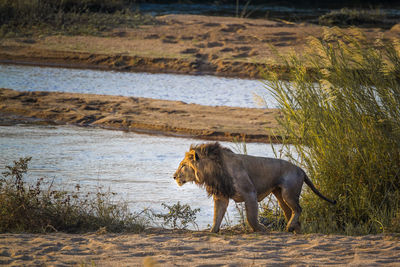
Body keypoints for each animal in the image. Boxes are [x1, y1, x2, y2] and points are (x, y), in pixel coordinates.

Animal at [173, 143, 336, 233]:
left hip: (288, 193)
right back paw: (294, 230)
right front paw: (212, 231)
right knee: (290, 212)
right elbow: (217, 216)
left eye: (183, 165)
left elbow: (251, 217)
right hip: (280, 195)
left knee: (298, 209)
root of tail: (300, 169)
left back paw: (290, 227)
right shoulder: (221, 196)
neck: (212, 171)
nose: (174, 176)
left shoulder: (250, 193)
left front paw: (262, 229)